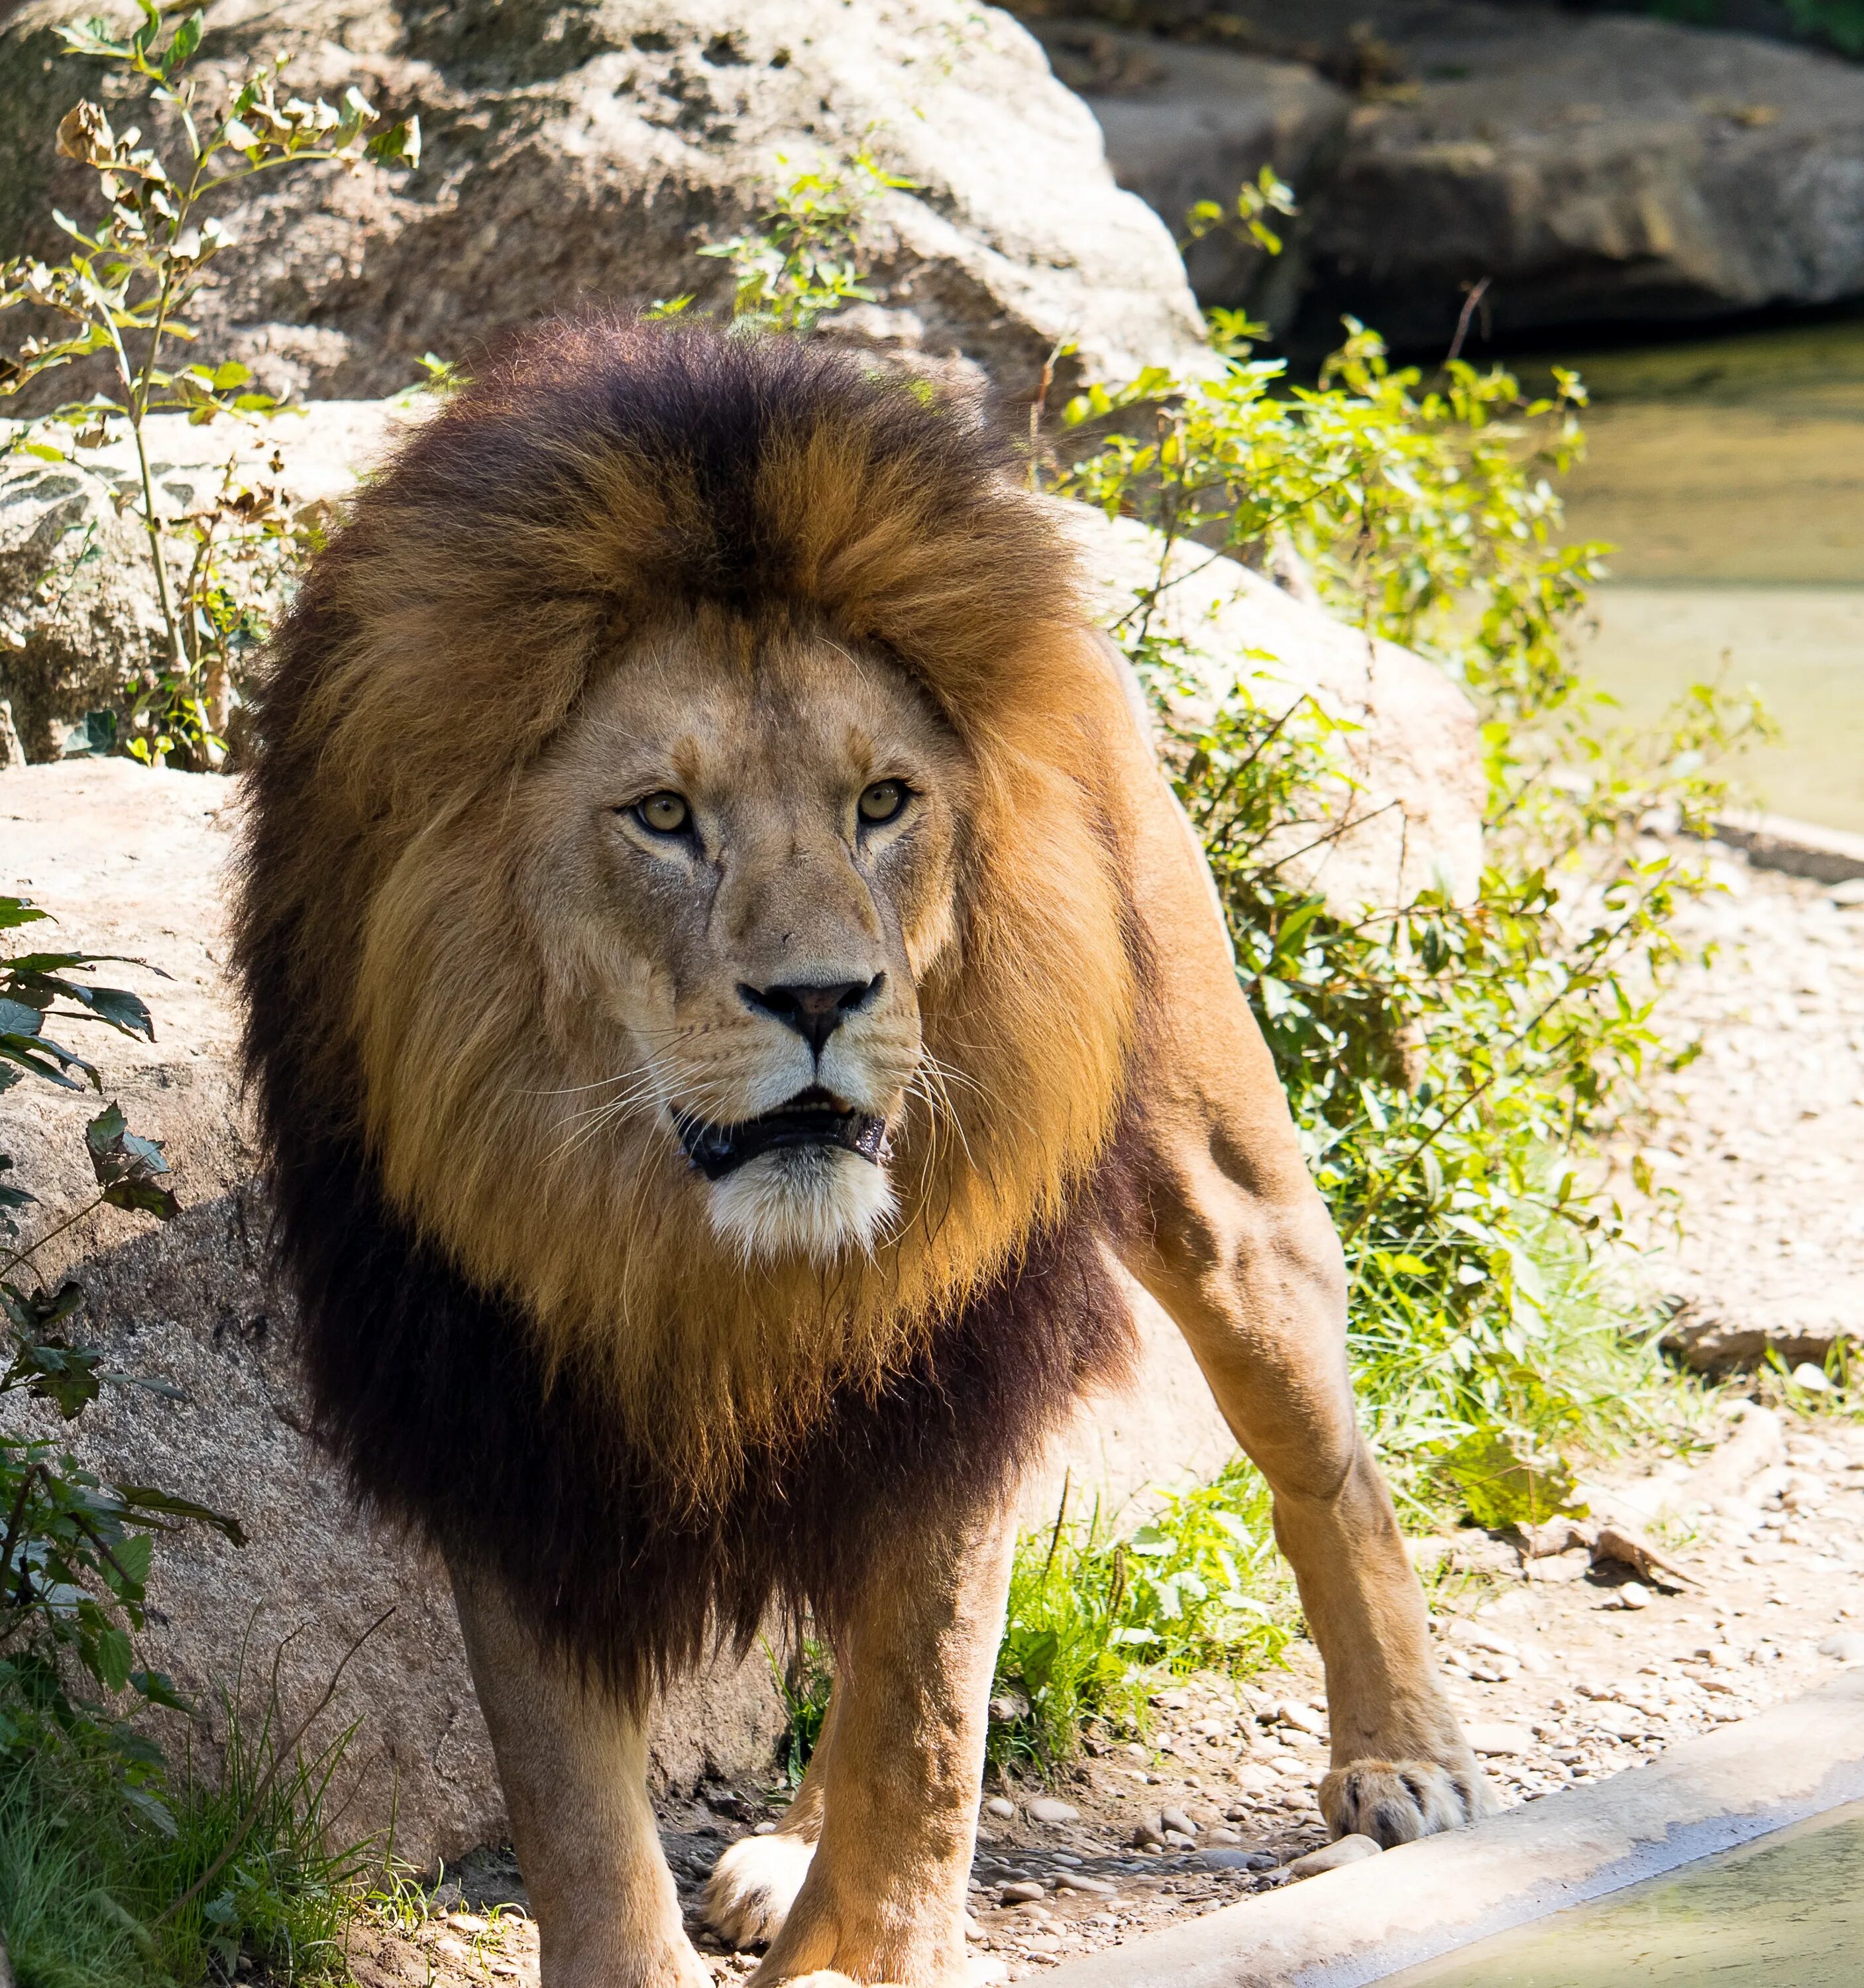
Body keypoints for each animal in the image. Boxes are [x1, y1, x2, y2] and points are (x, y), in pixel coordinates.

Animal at [232, 326, 1486, 1988]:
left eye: (881, 803)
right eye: (661, 818)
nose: (824, 997)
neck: (678, 1237)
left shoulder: (951, 1337)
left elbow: (921, 1728)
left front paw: (857, 1962)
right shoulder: (498, 1400)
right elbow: (572, 1809)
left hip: (1209, 1191)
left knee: (1321, 1458)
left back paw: (1401, 1754)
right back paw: (781, 1852)